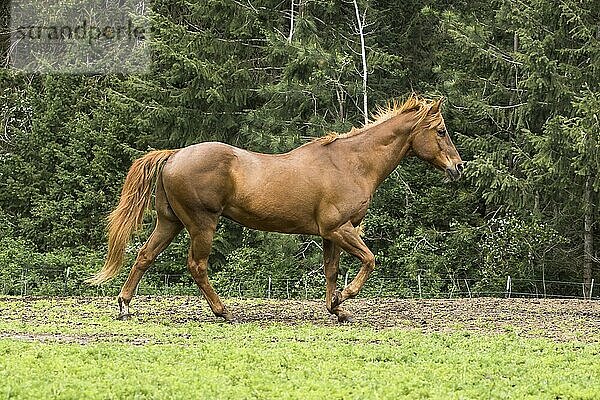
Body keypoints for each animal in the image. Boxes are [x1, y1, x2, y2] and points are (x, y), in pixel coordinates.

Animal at [88, 95, 464, 324]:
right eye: (441, 130)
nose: (458, 167)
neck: (351, 163)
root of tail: (174, 154)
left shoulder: (329, 235)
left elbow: (330, 271)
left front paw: (336, 309)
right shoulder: (341, 229)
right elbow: (369, 260)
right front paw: (345, 297)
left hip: (170, 223)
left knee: (144, 257)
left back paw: (125, 306)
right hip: (201, 225)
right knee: (197, 266)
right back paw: (224, 312)